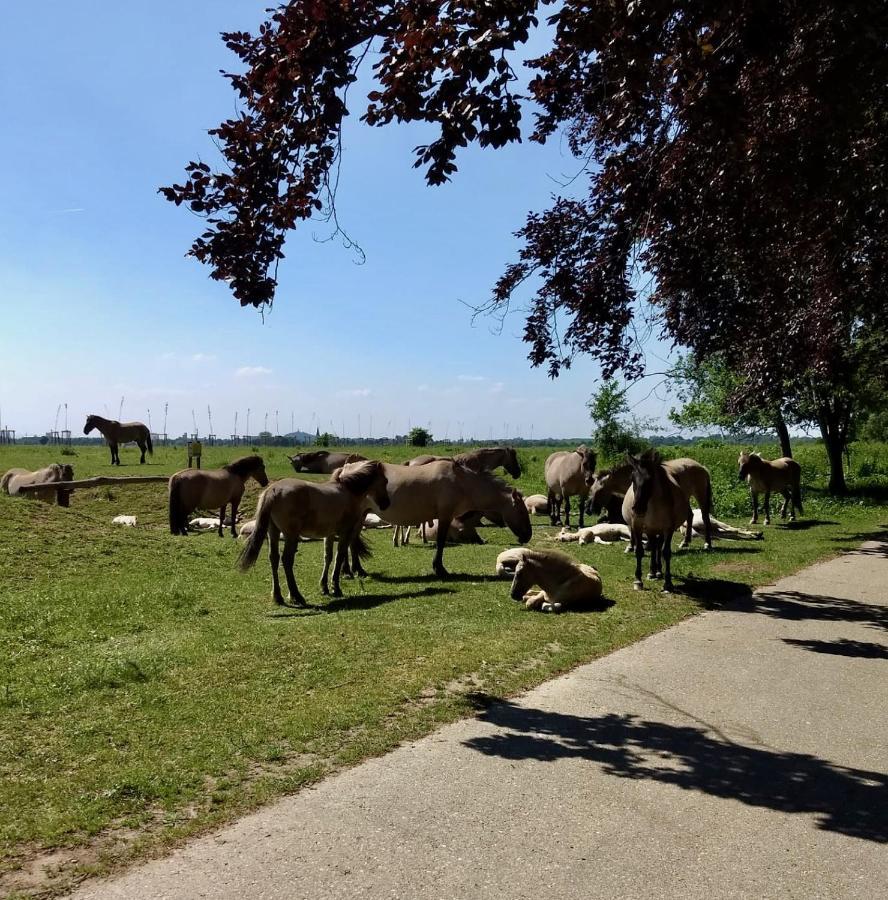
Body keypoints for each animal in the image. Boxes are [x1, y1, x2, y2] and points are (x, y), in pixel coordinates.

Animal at [239, 458, 388, 604]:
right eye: (385, 481)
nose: (385, 503)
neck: (348, 491)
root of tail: (273, 490)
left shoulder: (330, 534)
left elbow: (328, 557)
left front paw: (324, 587)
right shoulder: (345, 532)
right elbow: (339, 556)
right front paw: (336, 588)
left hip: (273, 532)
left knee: (274, 559)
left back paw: (278, 597)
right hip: (290, 536)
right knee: (286, 560)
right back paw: (296, 596)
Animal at [358, 460, 532, 580]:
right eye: (521, 511)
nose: (528, 535)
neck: (460, 482)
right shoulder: (445, 516)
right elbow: (440, 542)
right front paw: (439, 569)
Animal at [588, 458, 716, 548]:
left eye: (600, 491)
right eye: (592, 490)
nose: (591, 510)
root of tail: (702, 467)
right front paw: (634, 545)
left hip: (700, 496)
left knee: (705, 517)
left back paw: (707, 544)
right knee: (690, 516)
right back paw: (685, 542)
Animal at [620, 454, 692, 596]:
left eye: (650, 479)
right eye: (632, 478)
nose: (638, 509)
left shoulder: (668, 529)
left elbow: (666, 552)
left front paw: (668, 584)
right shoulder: (637, 527)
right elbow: (639, 551)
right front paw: (638, 581)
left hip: (658, 530)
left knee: (658, 546)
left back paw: (658, 571)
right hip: (650, 530)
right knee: (654, 546)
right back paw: (652, 572)